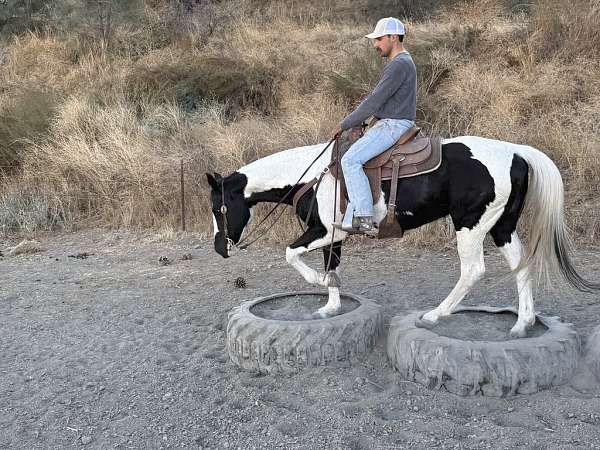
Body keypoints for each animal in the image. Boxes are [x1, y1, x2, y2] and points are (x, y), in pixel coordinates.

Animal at [205, 137, 596, 338]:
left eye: (219, 207)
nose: (219, 249)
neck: (312, 178)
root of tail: (516, 152)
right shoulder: (334, 236)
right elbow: (332, 267)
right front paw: (330, 306)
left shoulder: (323, 231)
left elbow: (292, 253)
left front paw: (318, 283)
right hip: (501, 227)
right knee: (521, 266)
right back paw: (522, 323)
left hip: (470, 225)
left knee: (472, 271)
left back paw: (435, 315)